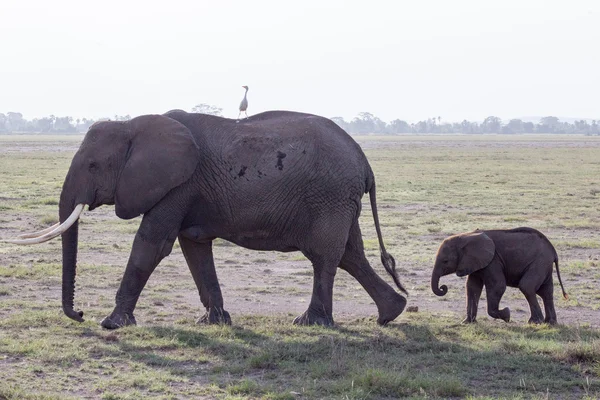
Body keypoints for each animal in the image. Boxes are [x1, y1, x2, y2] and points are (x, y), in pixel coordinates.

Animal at [3, 110, 408, 328]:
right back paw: (391, 314)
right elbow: (195, 248)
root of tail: (365, 162)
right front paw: (215, 323)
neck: (132, 123)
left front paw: (112, 324)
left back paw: (310, 323)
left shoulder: (178, 184)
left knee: (325, 256)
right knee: (350, 255)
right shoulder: (186, 190)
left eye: (92, 165)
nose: (80, 314)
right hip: (340, 199)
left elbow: (151, 244)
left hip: (329, 196)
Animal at [432, 227, 568, 324]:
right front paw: (467, 322)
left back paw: (535, 322)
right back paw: (550, 323)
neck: (466, 236)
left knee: (527, 287)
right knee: (546, 292)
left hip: (540, 262)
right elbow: (472, 287)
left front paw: (507, 315)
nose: (443, 287)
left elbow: (498, 286)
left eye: (445, 261)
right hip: (544, 265)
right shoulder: (475, 262)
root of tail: (553, 251)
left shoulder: (493, 261)